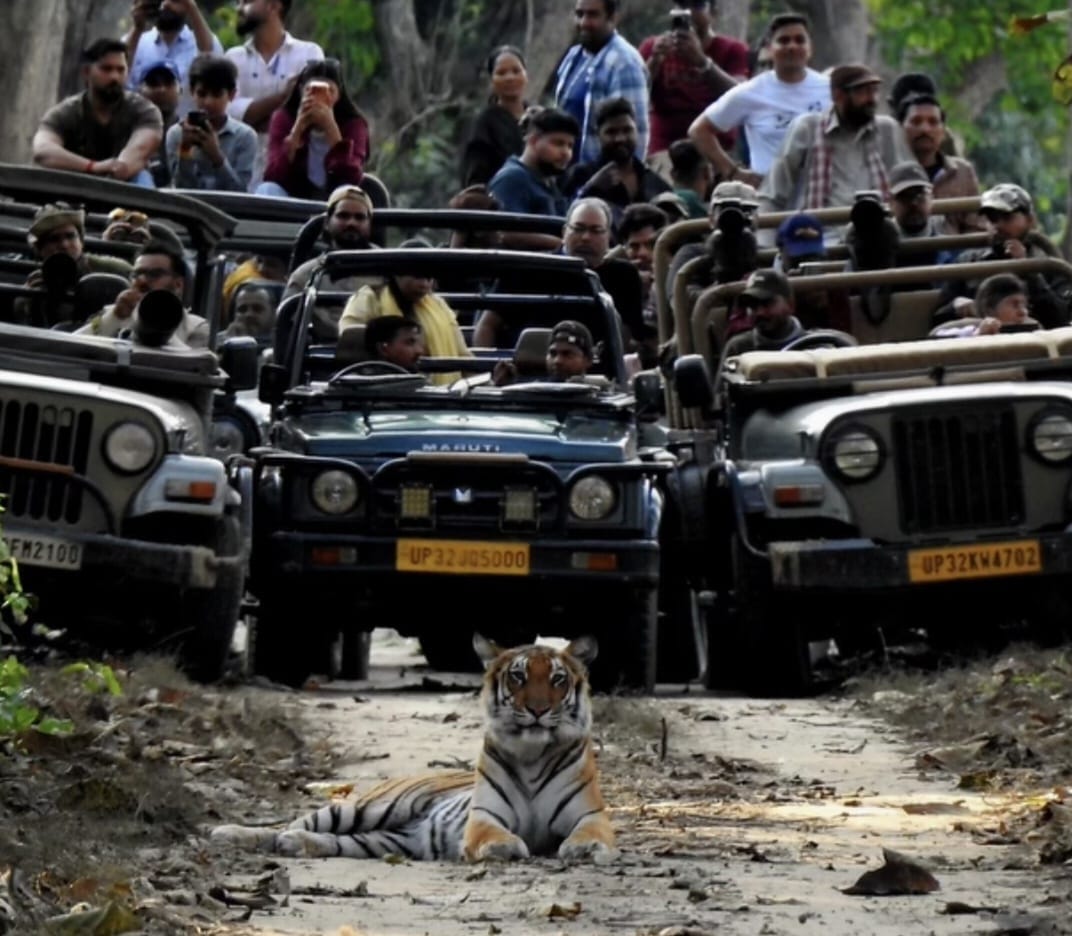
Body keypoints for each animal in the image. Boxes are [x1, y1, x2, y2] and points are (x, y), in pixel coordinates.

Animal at [210, 634, 617, 863]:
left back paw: (294, 844)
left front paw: (584, 850)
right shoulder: (484, 816)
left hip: (382, 840)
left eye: (558, 679)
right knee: (290, 823)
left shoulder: (590, 815)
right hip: (367, 807)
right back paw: (232, 834)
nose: (537, 710)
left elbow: (590, 833)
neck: (533, 754)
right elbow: (494, 835)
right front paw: (504, 847)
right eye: (518, 676)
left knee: (329, 840)